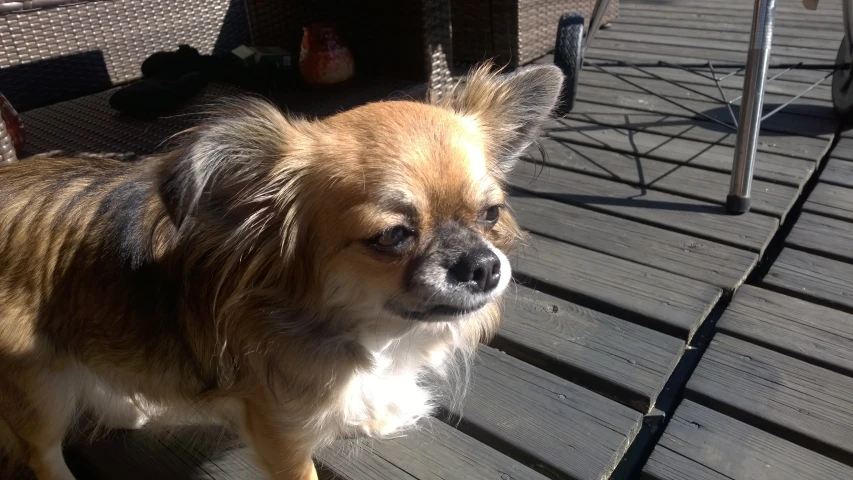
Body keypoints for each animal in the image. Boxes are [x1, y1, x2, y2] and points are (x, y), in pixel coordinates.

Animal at [0, 64, 564, 480]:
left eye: (490, 214)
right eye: (392, 236)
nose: (485, 266)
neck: (368, 332)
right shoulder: (279, 434)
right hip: (36, 386)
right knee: (41, 453)